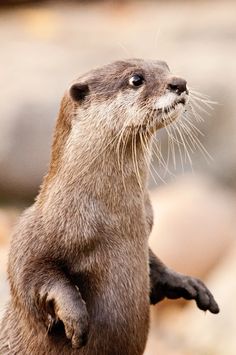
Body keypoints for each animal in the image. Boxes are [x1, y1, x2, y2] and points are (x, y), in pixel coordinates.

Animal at [0, 59, 219, 354]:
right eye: (136, 79)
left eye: (165, 66)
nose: (179, 82)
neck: (115, 222)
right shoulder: (33, 235)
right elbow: (30, 276)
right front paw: (76, 319)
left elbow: (155, 264)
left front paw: (188, 283)